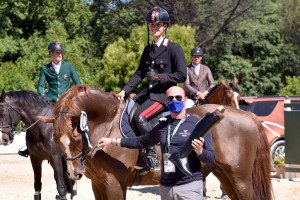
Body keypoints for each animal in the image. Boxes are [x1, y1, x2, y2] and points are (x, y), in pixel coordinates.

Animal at [39, 85, 272, 200]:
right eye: (56, 140)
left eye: (77, 138)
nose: (74, 174)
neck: (107, 122)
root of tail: (248, 116)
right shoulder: (98, 184)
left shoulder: (114, 183)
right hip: (225, 175)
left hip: (241, 178)